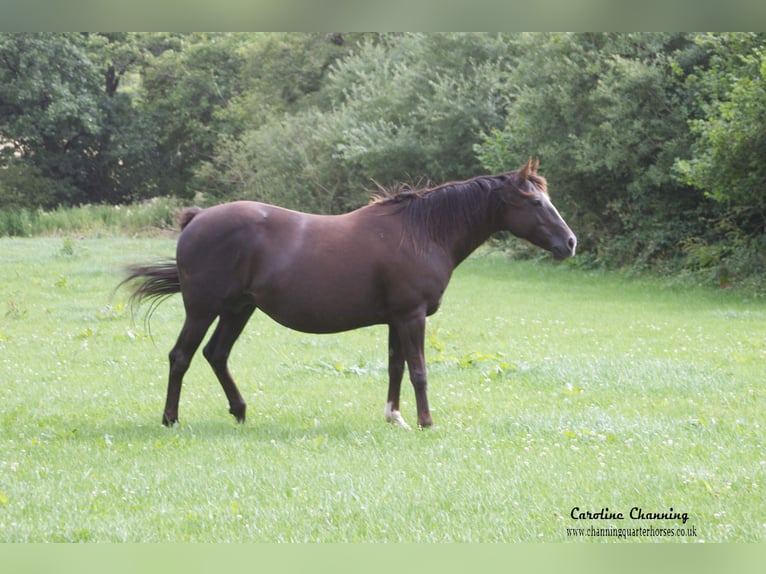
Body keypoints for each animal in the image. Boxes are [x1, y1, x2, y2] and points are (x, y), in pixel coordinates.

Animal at [120, 160, 576, 430]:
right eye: (536, 202)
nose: (569, 243)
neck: (422, 232)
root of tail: (197, 219)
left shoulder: (396, 318)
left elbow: (395, 368)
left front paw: (395, 417)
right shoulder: (412, 316)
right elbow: (419, 371)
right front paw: (426, 422)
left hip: (239, 309)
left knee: (216, 355)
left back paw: (240, 411)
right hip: (203, 310)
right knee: (181, 356)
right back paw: (171, 418)